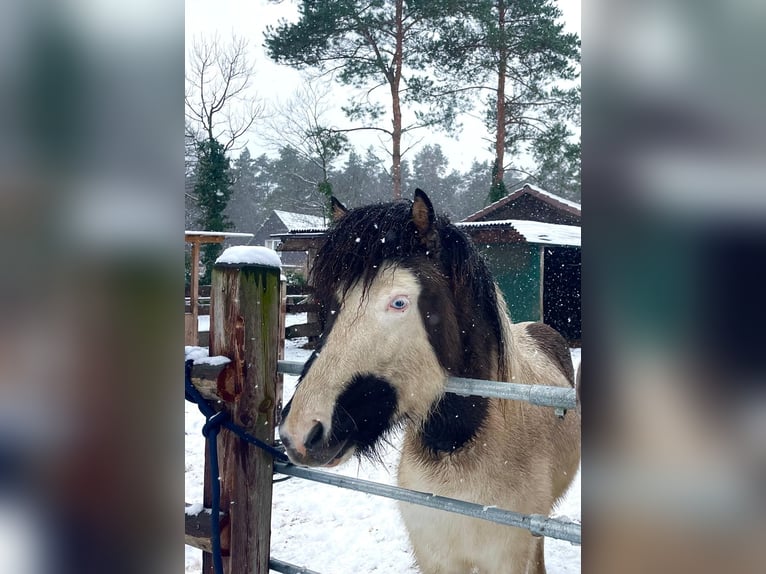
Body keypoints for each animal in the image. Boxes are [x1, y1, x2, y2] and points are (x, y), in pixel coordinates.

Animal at [278, 189, 581, 574]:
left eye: (398, 302)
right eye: (334, 304)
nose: (300, 432)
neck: (456, 452)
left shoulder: (507, 558)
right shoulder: (435, 557)